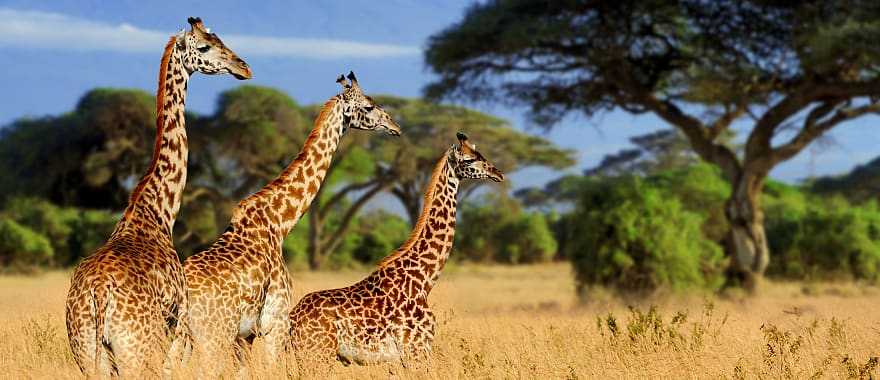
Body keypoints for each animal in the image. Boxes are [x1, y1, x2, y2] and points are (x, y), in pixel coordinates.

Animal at [64, 17, 251, 378]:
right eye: (205, 46)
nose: (243, 67)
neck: (158, 211)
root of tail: (99, 294)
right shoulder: (178, 325)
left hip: (88, 352)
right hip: (138, 350)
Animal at [182, 72, 402, 368]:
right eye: (368, 106)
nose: (395, 126)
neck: (279, 223)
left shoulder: (246, 335)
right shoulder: (275, 323)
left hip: (181, 337)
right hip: (213, 335)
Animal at [290, 132, 502, 364]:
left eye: (480, 154)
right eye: (469, 160)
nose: (498, 173)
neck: (424, 280)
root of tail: (291, 320)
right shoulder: (417, 350)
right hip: (317, 353)